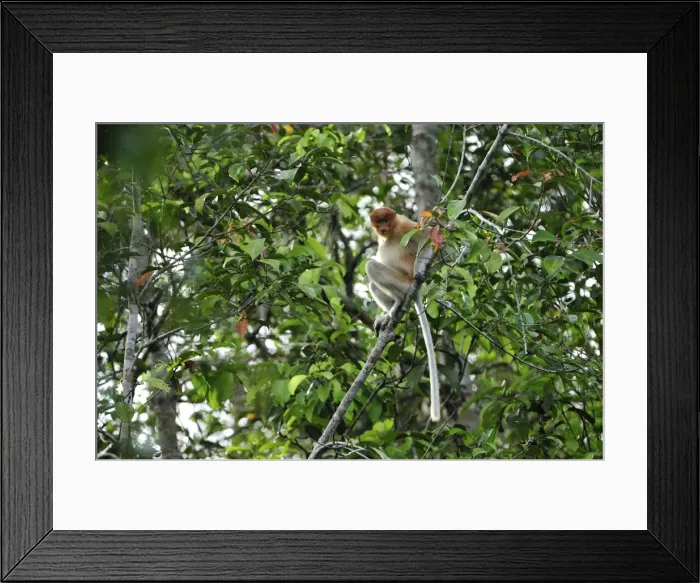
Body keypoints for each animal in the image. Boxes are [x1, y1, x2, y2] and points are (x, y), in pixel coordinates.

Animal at [366, 207, 440, 422]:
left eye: (387, 220)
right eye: (379, 222)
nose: (382, 228)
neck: (390, 234)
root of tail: (414, 292)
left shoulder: (404, 225)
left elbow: (426, 237)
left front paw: (419, 272)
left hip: (404, 283)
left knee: (371, 267)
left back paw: (399, 301)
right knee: (373, 283)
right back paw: (387, 316)